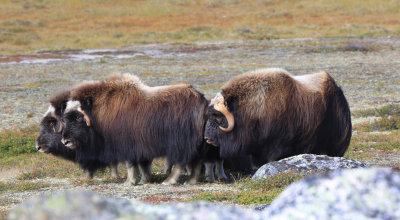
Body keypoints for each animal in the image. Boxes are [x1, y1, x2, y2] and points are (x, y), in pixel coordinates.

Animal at [61, 74, 209, 186]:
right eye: (65, 118)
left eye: (78, 117)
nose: (65, 141)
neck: (100, 113)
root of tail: (202, 101)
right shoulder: (142, 147)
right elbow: (144, 165)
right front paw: (144, 180)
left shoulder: (127, 145)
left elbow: (131, 165)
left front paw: (129, 182)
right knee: (197, 162)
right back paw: (190, 181)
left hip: (180, 143)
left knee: (181, 162)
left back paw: (168, 181)